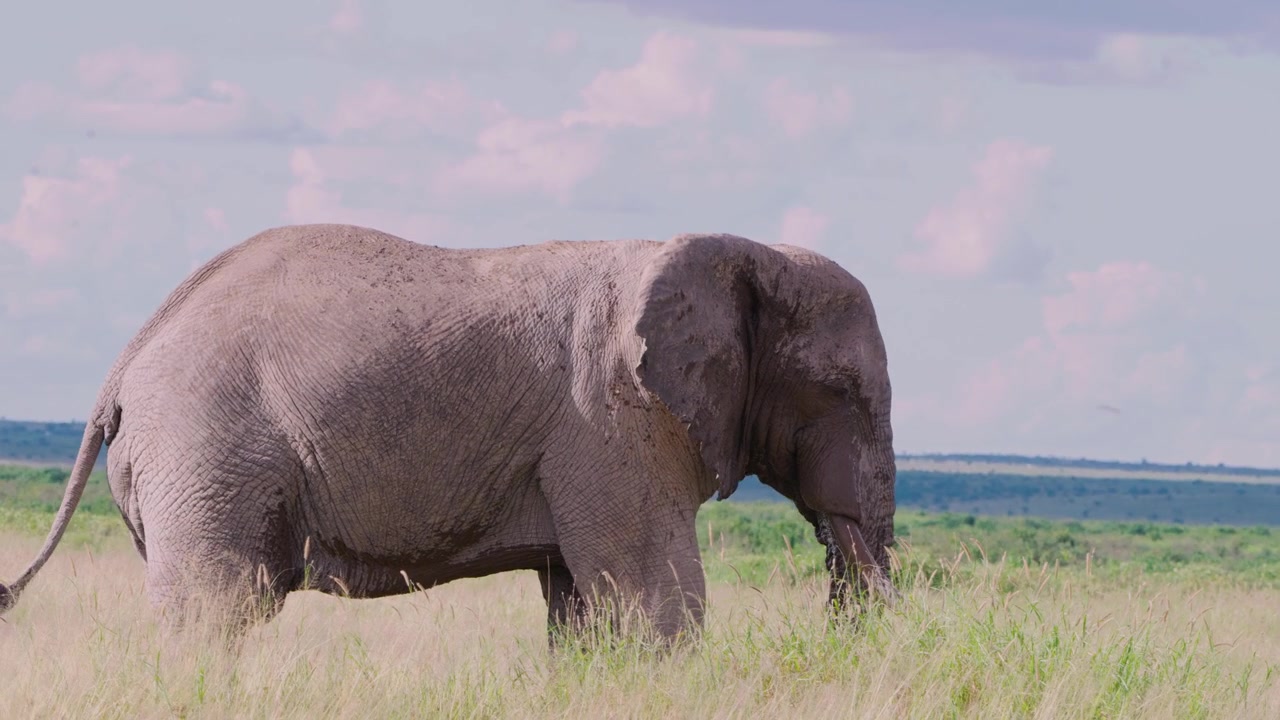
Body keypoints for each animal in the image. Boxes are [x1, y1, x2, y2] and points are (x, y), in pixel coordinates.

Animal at [0, 224, 898, 644]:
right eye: (845, 394)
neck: (737, 250)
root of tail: (125, 360)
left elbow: (584, 607)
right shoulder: (616, 422)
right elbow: (657, 601)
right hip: (208, 446)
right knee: (216, 612)